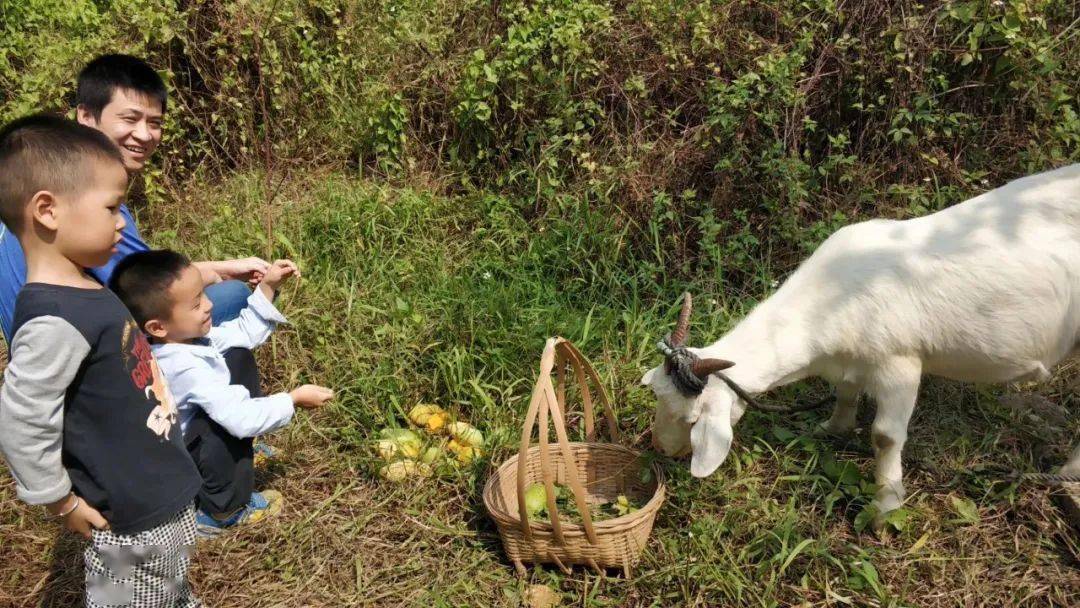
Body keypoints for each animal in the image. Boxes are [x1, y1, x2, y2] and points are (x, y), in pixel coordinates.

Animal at [639, 161, 1080, 529]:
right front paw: (832, 428)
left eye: (691, 420)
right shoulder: (850, 361)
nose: (659, 447)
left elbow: (885, 436)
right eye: (657, 396)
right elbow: (845, 391)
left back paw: (1067, 473)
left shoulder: (899, 364)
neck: (835, 293)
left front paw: (885, 509)